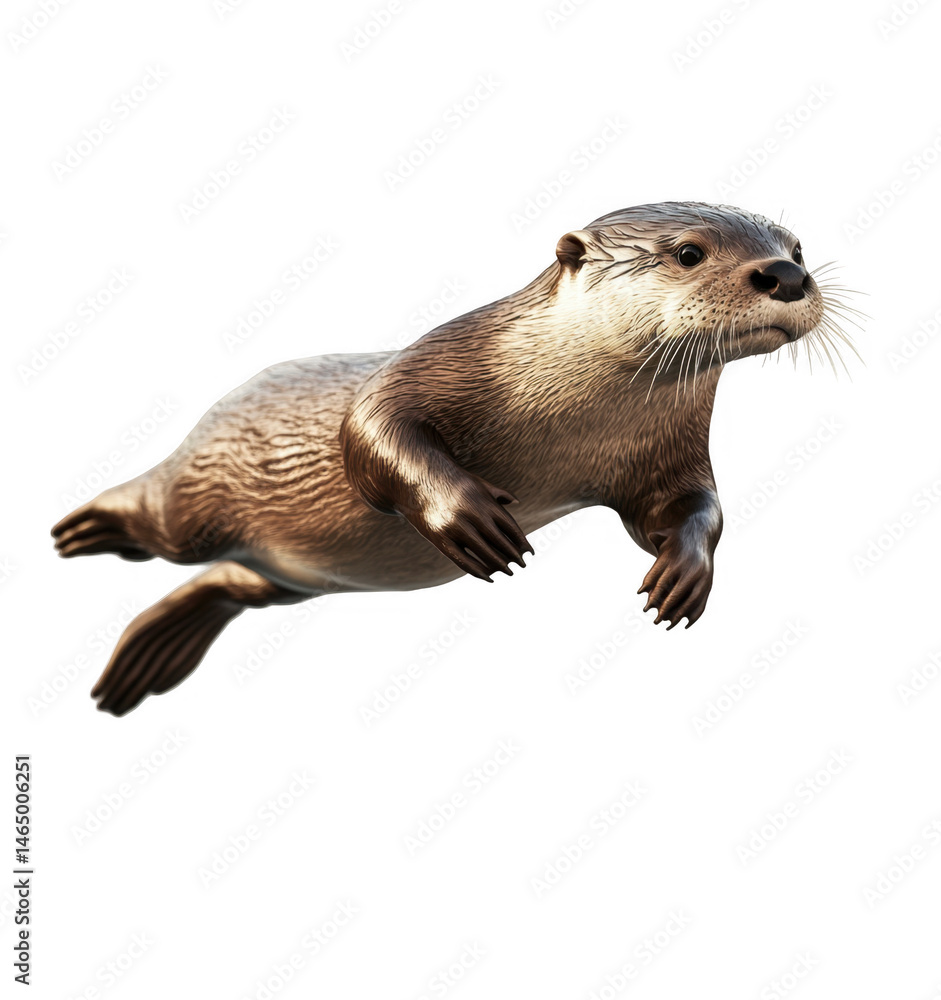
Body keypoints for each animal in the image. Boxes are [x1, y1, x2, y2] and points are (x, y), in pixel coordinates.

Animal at [52, 201, 853, 716]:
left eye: (797, 246)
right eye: (689, 252)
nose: (785, 276)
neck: (568, 410)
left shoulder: (666, 453)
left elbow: (689, 507)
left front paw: (683, 571)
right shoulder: (442, 359)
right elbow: (370, 426)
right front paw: (470, 519)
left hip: (285, 578)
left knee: (225, 582)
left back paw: (153, 649)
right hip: (201, 498)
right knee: (157, 513)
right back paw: (84, 528)